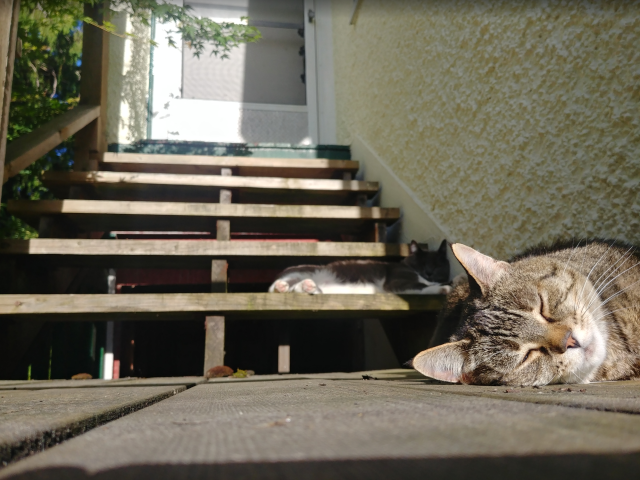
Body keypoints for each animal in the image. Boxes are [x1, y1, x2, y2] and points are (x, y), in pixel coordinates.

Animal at [268, 242, 452, 294]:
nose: (428, 273)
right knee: (274, 288)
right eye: (422, 264)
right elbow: (421, 286)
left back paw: (308, 287)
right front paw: (443, 288)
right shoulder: (396, 281)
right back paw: (282, 286)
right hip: (304, 270)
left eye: (437, 266)